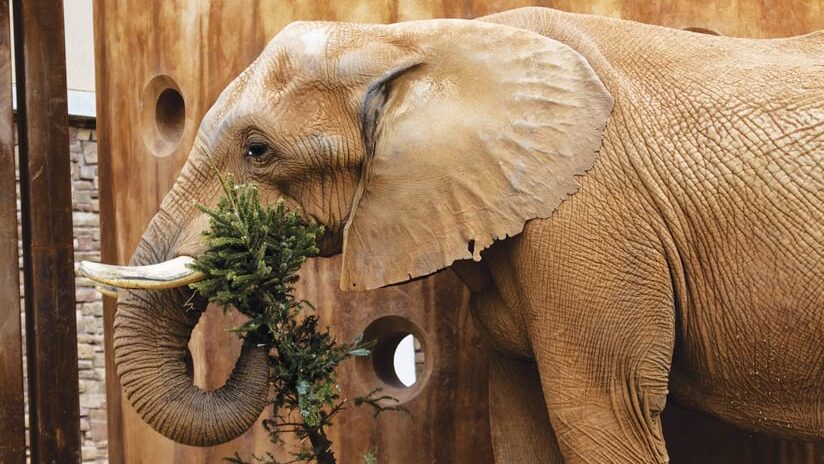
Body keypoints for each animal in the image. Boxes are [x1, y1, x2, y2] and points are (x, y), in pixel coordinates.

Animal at [80, 7, 824, 463]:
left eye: (257, 150)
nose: (263, 326)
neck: (418, 41)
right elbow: (520, 420)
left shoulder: (588, 216)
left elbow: (601, 410)